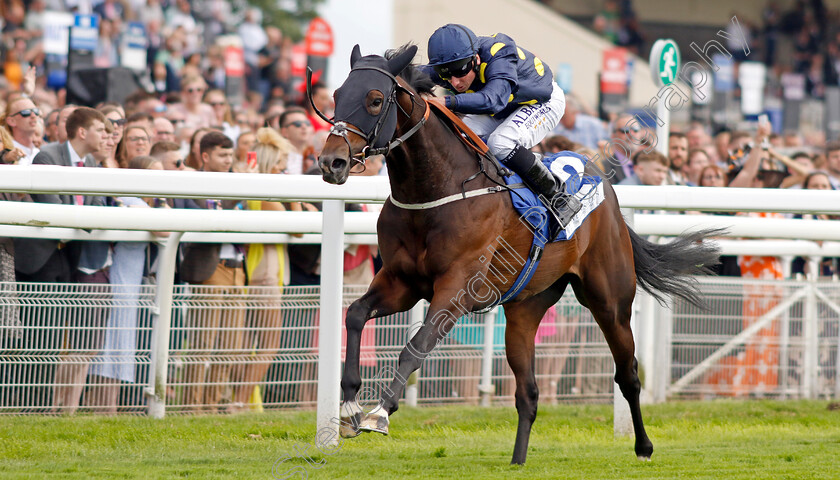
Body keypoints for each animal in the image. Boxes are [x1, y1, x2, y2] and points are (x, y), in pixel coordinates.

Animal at [312, 45, 720, 464]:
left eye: (375, 100)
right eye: (336, 95)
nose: (332, 162)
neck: (435, 190)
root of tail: (607, 190)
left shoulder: (456, 289)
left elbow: (415, 347)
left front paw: (379, 412)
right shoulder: (401, 281)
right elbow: (355, 314)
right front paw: (349, 407)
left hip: (610, 301)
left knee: (628, 374)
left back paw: (643, 446)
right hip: (526, 308)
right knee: (529, 393)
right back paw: (518, 460)